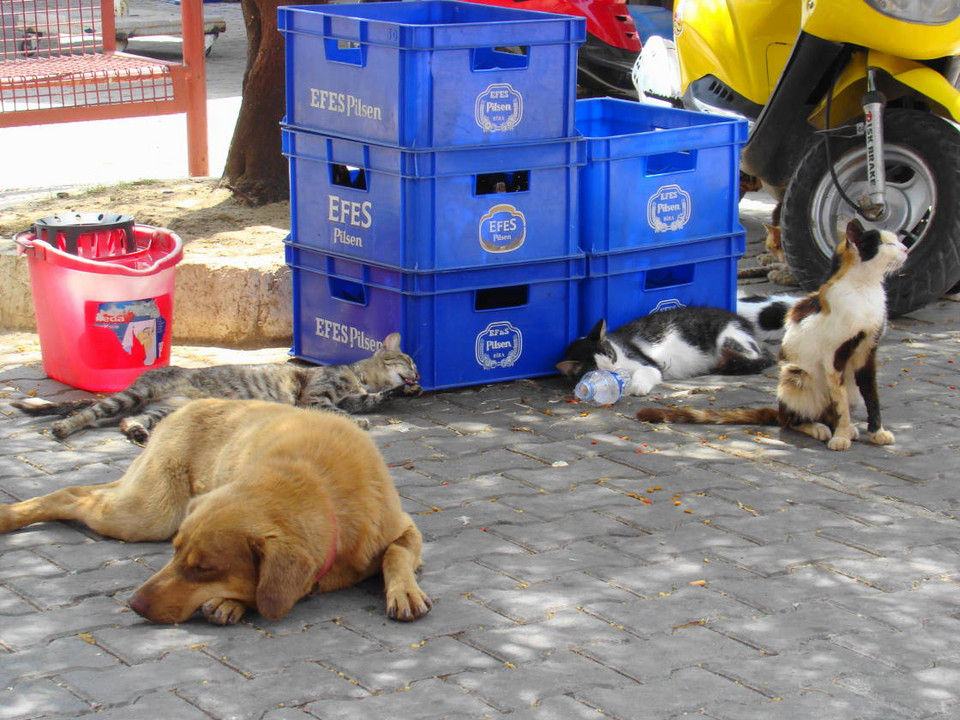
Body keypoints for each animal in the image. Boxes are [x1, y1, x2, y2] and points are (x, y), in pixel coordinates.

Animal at [0, 400, 432, 624]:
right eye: (174, 554)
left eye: (204, 568)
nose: (133, 604)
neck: (320, 490)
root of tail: (186, 402)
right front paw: (231, 602)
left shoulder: (406, 530)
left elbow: (394, 555)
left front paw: (404, 591)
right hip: (148, 514)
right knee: (73, 494)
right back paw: (9, 515)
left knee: (87, 492)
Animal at [14, 330, 420, 442]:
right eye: (410, 361)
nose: (418, 377)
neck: (356, 375)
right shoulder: (315, 395)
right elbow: (340, 409)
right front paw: (361, 420)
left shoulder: (356, 397)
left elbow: (373, 400)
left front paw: (400, 394)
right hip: (134, 395)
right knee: (90, 413)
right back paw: (62, 427)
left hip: (164, 409)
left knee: (127, 421)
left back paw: (137, 434)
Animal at [556, 302, 780, 396]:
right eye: (599, 371)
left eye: (612, 357)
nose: (618, 372)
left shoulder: (648, 363)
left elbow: (647, 371)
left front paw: (637, 386)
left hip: (728, 336)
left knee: (753, 355)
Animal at [636, 219, 908, 452]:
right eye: (888, 244)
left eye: (897, 241)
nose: (906, 248)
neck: (865, 290)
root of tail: (780, 409)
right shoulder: (835, 355)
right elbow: (839, 402)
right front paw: (840, 437)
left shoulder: (867, 352)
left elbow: (872, 396)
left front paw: (877, 432)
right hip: (796, 375)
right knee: (793, 420)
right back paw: (820, 427)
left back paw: (845, 427)